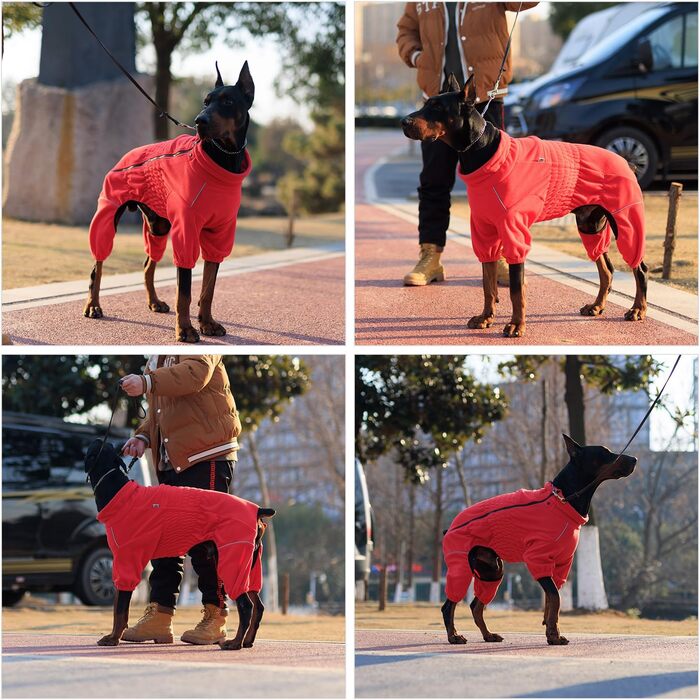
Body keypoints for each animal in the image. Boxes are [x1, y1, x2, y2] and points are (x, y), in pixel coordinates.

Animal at [85, 64, 254, 344]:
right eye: (206, 101)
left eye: (228, 101)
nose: (199, 121)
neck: (222, 160)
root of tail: (127, 154)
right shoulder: (186, 230)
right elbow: (184, 291)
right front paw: (185, 329)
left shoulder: (219, 233)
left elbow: (208, 288)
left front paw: (207, 323)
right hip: (108, 216)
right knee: (97, 266)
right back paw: (93, 305)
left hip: (158, 226)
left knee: (147, 265)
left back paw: (154, 302)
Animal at [85, 438, 274, 652]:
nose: (98, 438)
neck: (117, 490)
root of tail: (257, 509)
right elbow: (118, 606)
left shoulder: (126, 563)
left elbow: (120, 610)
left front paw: (113, 639)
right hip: (250, 567)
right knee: (258, 606)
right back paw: (248, 640)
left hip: (232, 562)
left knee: (245, 606)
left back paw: (235, 643)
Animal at [402, 75, 648, 338]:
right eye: (427, 103)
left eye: (438, 107)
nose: (403, 122)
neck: (480, 150)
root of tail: (627, 162)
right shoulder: (484, 231)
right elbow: (487, 284)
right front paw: (486, 317)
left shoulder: (514, 232)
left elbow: (516, 289)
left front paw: (516, 325)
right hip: (589, 225)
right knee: (607, 269)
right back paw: (597, 306)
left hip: (626, 221)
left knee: (639, 268)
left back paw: (637, 309)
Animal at [440, 434, 636, 648]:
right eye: (605, 453)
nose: (634, 459)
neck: (563, 499)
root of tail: (449, 528)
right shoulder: (537, 558)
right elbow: (556, 598)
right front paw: (555, 636)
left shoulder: (561, 564)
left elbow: (552, 601)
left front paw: (551, 633)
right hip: (461, 567)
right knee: (448, 605)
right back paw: (453, 636)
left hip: (491, 571)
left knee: (476, 605)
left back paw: (488, 635)